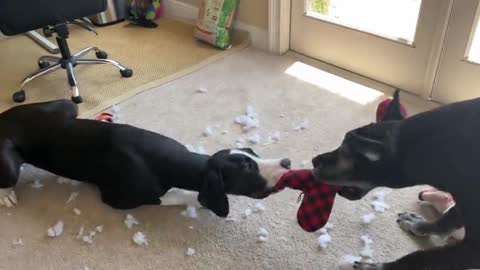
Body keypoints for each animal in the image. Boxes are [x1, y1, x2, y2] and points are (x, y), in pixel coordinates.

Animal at [0, 100, 290, 216]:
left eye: (252, 153)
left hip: (68, 106)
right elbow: (177, 196)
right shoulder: (120, 199)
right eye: (247, 167)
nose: (287, 162)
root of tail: (4, 117)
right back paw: (6, 195)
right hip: (9, 163)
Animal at [312, 93, 480, 270]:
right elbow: (448, 217)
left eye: (345, 154)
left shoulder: (474, 249)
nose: (314, 161)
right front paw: (418, 225)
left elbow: (421, 259)